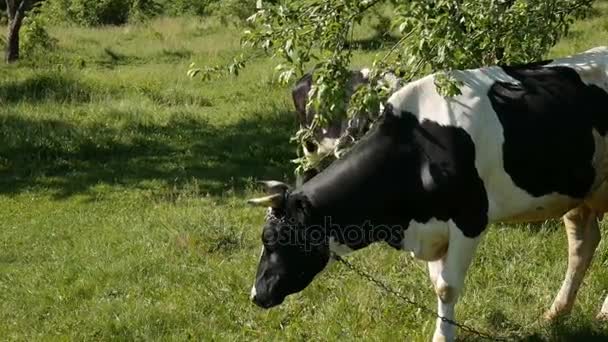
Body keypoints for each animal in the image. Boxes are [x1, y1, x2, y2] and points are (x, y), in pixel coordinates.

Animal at [249, 46, 608, 342]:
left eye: (273, 240)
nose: (256, 295)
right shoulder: (432, 229)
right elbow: (438, 285)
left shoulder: (470, 219)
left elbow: (448, 288)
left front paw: (443, 337)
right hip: (581, 193)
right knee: (583, 243)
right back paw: (555, 313)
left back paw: (599, 312)